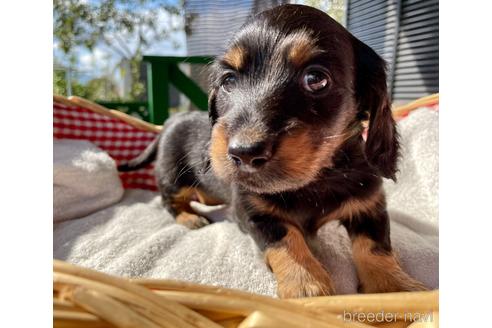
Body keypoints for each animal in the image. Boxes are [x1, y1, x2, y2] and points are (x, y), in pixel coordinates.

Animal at [119, 4, 426, 298]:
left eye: (316, 78)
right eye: (228, 80)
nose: (243, 153)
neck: (314, 180)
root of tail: (170, 122)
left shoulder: (369, 206)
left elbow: (375, 246)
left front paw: (393, 286)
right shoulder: (253, 211)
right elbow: (286, 237)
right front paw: (305, 282)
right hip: (175, 177)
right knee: (169, 200)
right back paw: (190, 217)